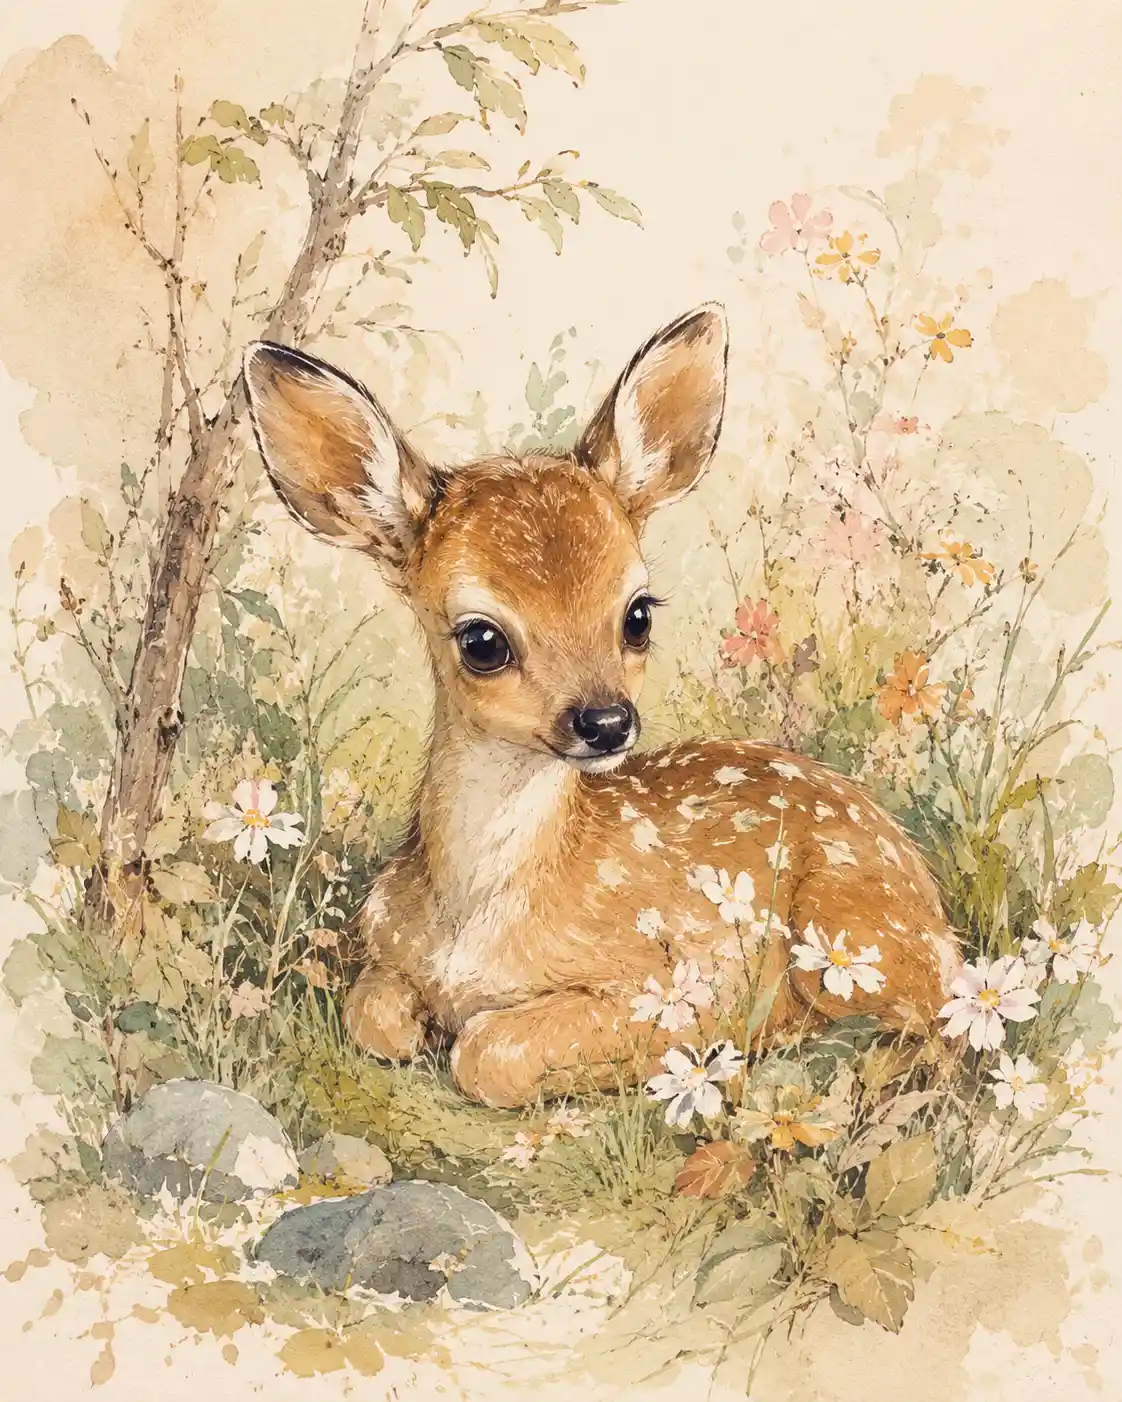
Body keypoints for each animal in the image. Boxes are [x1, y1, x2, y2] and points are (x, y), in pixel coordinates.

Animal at [243, 305, 958, 1110]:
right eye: (481, 639)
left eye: (637, 615)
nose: (607, 722)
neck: (476, 924)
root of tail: (926, 892)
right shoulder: (384, 952)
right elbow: (376, 1017)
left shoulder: (686, 977)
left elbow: (488, 1051)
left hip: (847, 929)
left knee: (938, 1025)